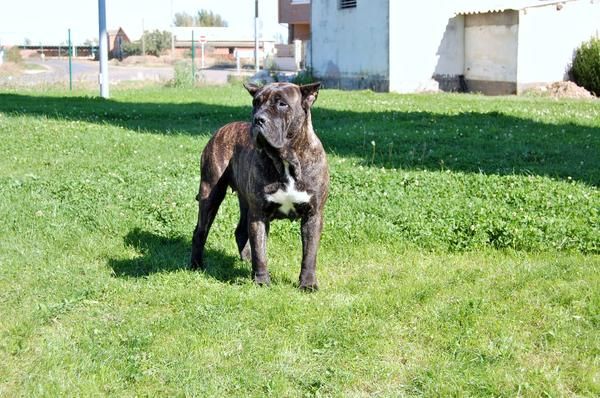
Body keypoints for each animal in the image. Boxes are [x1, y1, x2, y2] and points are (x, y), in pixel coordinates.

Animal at [191, 82, 328, 290]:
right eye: (256, 103)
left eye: (282, 104)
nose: (258, 119)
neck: (286, 159)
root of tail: (222, 129)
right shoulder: (259, 215)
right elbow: (260, 252)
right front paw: (262, 281)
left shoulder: (313, 215)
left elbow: (309, 254)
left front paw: (308, 284)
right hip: (210, 194)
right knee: (200, 231)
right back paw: (196, 265)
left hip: (244, 202)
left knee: (240, 231)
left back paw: (246, 260)